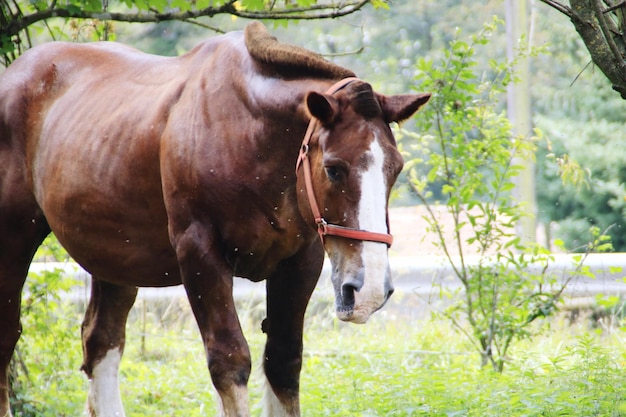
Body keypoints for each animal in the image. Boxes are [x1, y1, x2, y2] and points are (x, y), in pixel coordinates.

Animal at [0, 23, 426, 416]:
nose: (368, 291)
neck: (248, 135)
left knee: (101, 343)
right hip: (15, 238)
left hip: (114, 258)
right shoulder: (200, 254)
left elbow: (283, 361)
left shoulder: (301, 259)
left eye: (396, 169)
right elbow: (230, 361)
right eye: (334, 168)